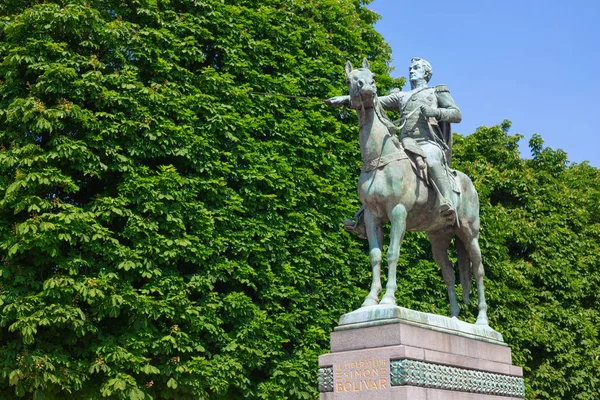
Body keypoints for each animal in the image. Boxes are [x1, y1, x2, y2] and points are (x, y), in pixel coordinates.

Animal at [342, 58, 488, 324]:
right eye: (351, 80)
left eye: (373, 78)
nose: (367, 90)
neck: (379, 159)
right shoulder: (371, 217)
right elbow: (375, 256)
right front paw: (369, 301)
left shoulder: (398, 212)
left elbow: (392, 253)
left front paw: (388, 300)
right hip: (439, 237)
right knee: (449, 273)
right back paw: (453, 317)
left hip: (469, 233)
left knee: (478, 269)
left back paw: (482, 320)